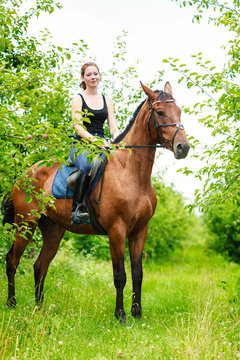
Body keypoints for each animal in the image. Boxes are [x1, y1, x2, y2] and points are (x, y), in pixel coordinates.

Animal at [1, 82, 189, 324]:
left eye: (179, 110)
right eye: (159, 112)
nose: (183, 147)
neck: (131, 173)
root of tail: (24, 174)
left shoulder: (140, 231)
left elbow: (138, 273)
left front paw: (137, 313)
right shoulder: (117, 230)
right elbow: (120, 275)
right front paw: (121, 316)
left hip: (53, 230)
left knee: (40, 266)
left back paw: (39, 309)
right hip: (26, 224)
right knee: (12, 260)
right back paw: (12, 304)